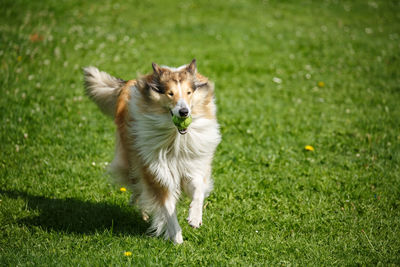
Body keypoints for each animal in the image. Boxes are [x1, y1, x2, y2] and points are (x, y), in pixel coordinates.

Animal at [84, 59, 220, 244]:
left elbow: (198, 190)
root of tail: (128, 82)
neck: (175, 138)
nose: (184, 112)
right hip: (132, 159)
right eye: (170, 93)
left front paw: (194, 218)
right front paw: (178, 241)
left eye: (189, 92)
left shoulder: (192, 167)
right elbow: (167, 209)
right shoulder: (158, 173)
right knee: (137, 185)